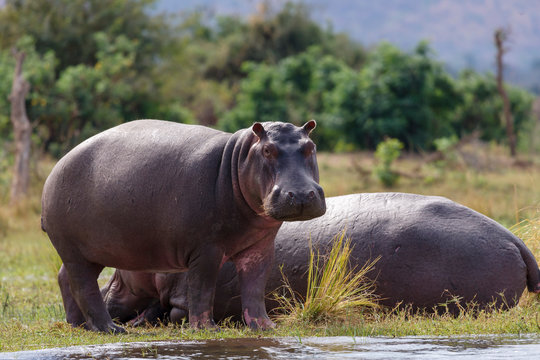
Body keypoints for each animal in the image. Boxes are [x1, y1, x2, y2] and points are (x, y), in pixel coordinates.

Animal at [41, 119, 324, 332]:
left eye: (310, 146)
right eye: (267, 150)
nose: (301, 194)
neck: (237, 160)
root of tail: (55, 169)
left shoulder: (260, 247)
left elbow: (255, 288)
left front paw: (265, 327)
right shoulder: (206, 249)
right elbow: (201, 288)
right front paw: (207, 329)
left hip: (89, 251)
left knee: (64, 277)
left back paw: (78, 325)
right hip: (73, 249)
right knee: (84, 286)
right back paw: (110, 329)